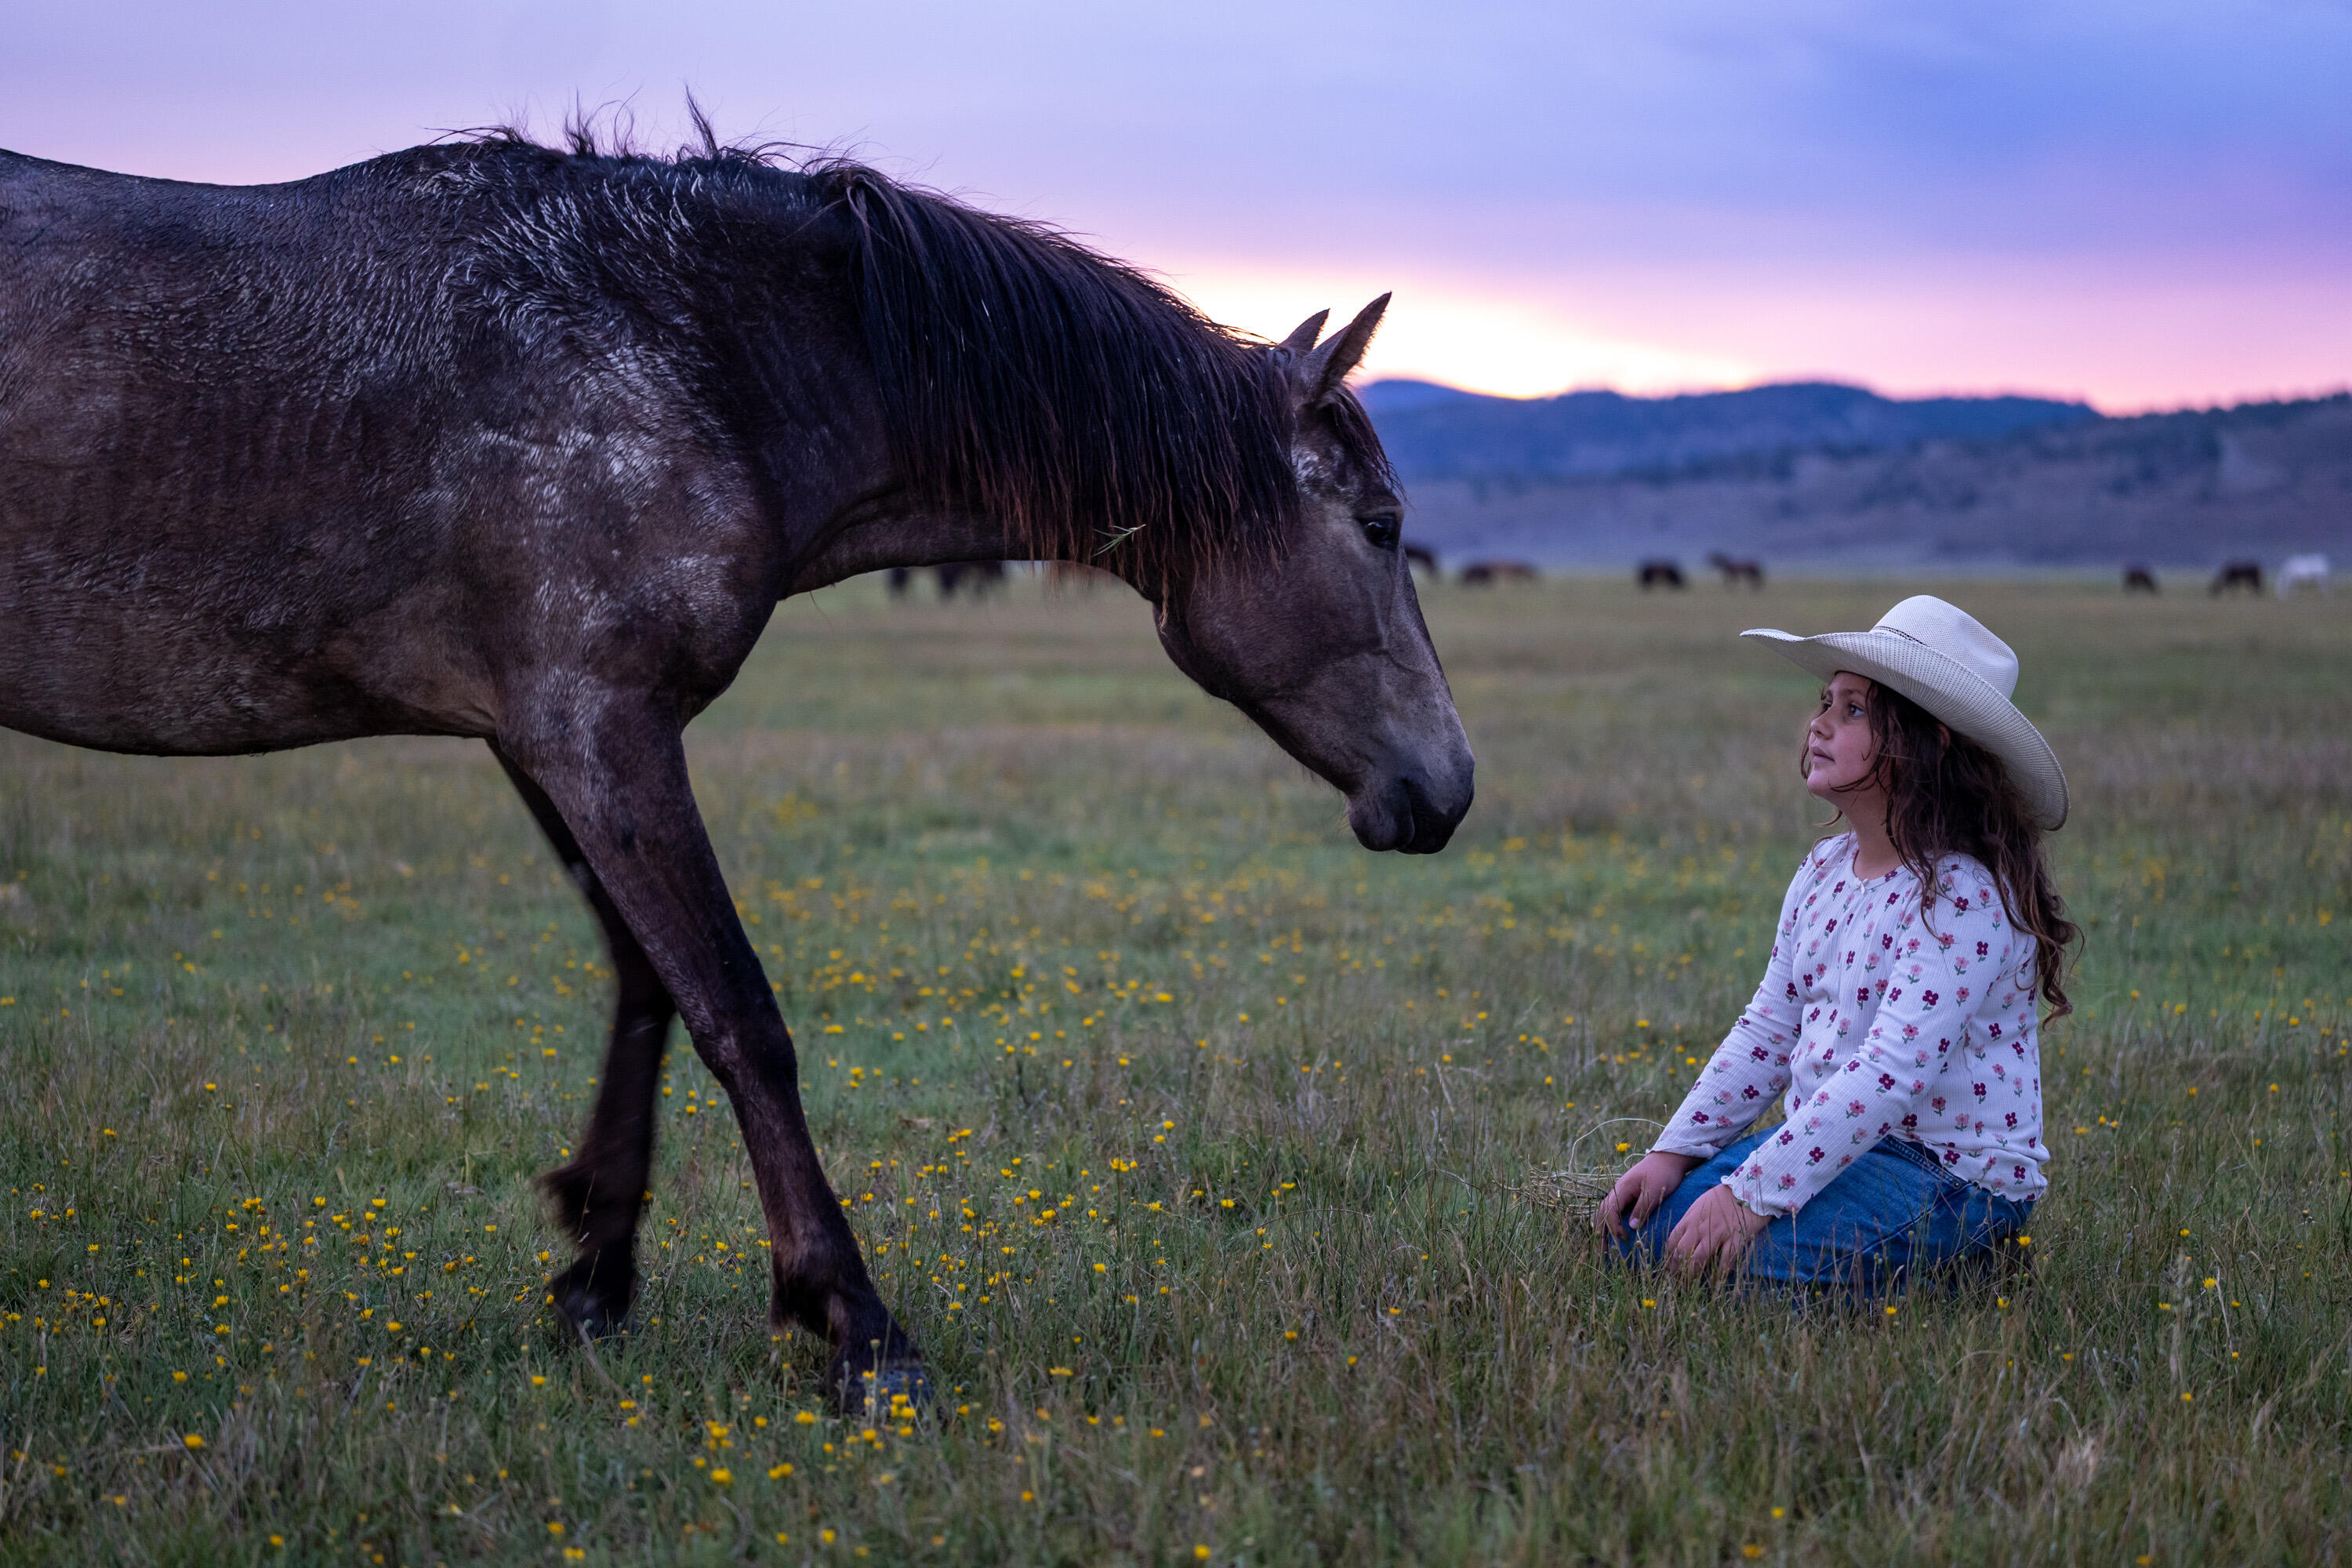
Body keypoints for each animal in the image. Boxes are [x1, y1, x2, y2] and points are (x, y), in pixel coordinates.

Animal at [0, 126, 1474, 1411]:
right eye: (1380, 523)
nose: (1450, 787)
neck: (683, 350)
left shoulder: (552, 738)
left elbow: (649, 984)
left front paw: (594, 1273)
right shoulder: (598, 726)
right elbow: (739, 1014)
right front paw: (857, 1328)